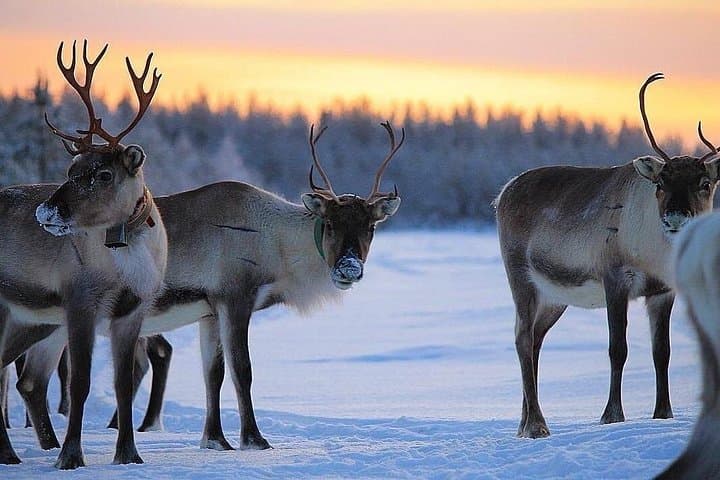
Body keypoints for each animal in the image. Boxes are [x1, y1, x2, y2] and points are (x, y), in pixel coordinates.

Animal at [0, 40, 167, 468]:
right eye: (70, 169)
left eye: (103, 174)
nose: (46, 211)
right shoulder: (80, 301)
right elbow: (81, 383)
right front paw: (71, 456)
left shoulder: (132, 310)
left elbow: (123, 383)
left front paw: (129, 454)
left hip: (34, 321)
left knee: (19, 377)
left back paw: (18, 450)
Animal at [1, 121, 404, 453]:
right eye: (330, 224)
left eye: (370, 226)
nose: (349, 268)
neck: (276, 249)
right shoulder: (235, 296)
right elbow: (242, 370)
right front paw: (253, 439)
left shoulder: (209, 309)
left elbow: (213, 373)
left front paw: (215, 439)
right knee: (30, 379)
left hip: (49, 322)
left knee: (31, 382)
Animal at [495, 72, 720, 438]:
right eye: (660, 183)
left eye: (704, 183)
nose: (675, 218)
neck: (654, 254)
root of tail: (503, 193)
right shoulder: (616, 278)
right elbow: (618, 349)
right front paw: (611, 415)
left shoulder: (663, 290)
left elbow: (662, 351)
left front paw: (664, 414)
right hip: (521, 278)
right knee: (522, 338)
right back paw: (537, 425)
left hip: (555, 297)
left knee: (533, 339)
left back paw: (523, 423)